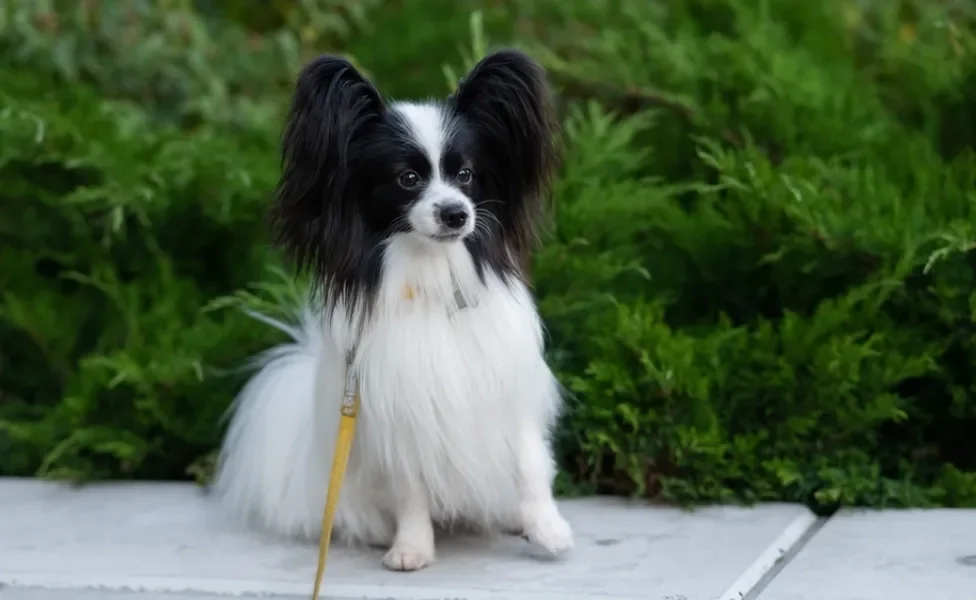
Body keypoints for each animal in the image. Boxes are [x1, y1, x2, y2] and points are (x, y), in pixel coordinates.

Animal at [214, 49, 572, 568]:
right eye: (408, 179)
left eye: (465, 175)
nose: (456, 213)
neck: (432, 278)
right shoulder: (399, 412)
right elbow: (411, 489)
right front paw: (412, 547)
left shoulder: (508, 393)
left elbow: (530, 465)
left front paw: (548, 530)